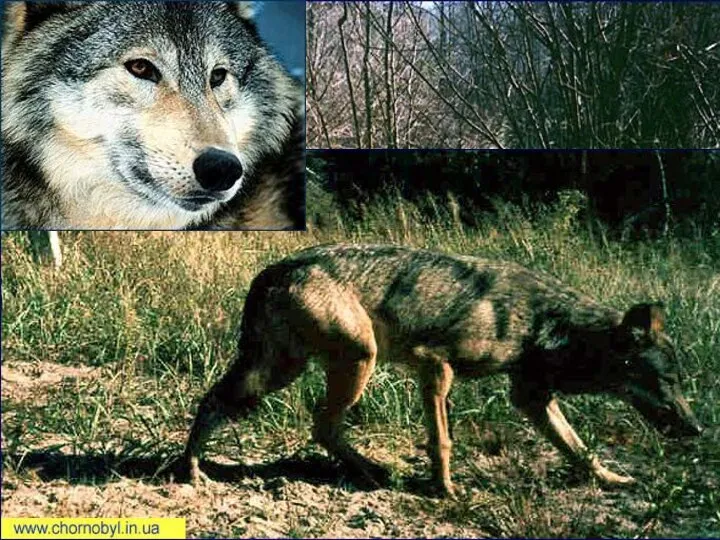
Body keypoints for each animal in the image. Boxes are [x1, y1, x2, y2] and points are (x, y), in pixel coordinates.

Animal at [181, 245, 704, 498]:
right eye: (670, 381)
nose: (698, 429)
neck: (545, 323)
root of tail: (275, 268)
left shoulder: (531, 398)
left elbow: (580, 449)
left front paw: (612, 480)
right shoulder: (437, 367)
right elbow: (443, 441)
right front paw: (446, 490)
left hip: (289, 369)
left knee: (246, 409)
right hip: (351, 362)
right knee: (312, 422)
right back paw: (192, 472)